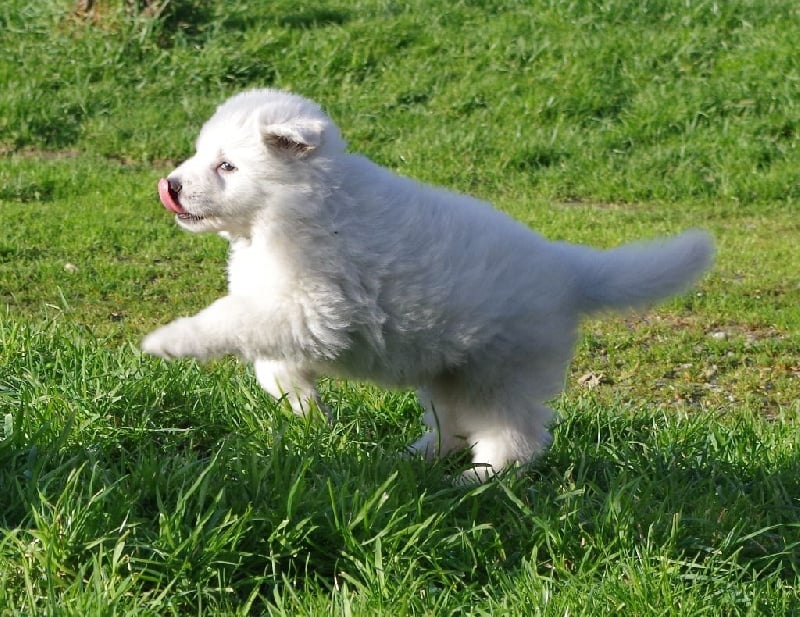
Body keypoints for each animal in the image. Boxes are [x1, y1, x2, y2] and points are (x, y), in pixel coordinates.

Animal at [142, 89, 712, 478]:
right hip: (448, 373)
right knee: (453, 427)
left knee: (516, 438)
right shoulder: (285, 311)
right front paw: (304, 408)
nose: (170, 185)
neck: (295, 210)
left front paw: (168, 341)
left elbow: (228, 321)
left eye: (227, 166)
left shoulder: (315, 310)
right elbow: (270, 363)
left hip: (498, 375)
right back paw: (414, 458)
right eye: (202, 156)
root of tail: (565, 266)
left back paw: (477, 480)